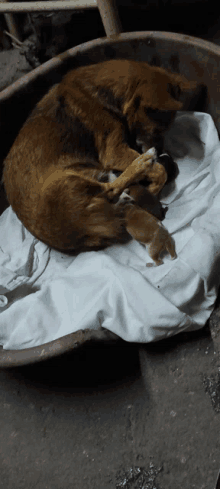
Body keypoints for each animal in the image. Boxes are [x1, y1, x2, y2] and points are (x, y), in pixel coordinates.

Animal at [2, 59, 198, 264]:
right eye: (157, 131)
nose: (161, 151)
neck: (102, 94)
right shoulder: (114, 151)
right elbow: (161, 171)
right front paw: (153, 186)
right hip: (64, 182)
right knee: (111, 189)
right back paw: (142, 163)